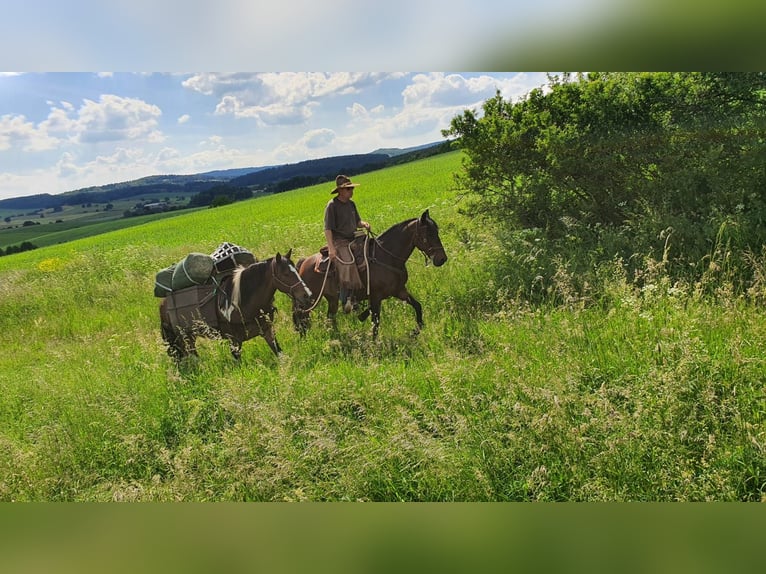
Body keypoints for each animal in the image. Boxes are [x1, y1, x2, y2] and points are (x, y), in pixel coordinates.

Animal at [160, 251, 314, 362]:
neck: (243, 301)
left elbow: (279, 353)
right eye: (285, 273)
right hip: (185, 337)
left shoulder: (267, 331)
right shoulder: (234, 342)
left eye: (296, 270)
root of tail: (163, 304)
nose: (308, 295)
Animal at [296, 212, 450, 340]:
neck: (386, 257)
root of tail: (304, 261)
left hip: (332, 299)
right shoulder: (376, 297)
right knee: (302, 316)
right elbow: (375, 323)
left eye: (436, 231)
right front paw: (375, 344)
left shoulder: (399, 291)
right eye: (429, 234)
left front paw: (415, 331)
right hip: (311, 299)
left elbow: (418, 306)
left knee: (329, 318)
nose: (442, 259)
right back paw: (305, 339)